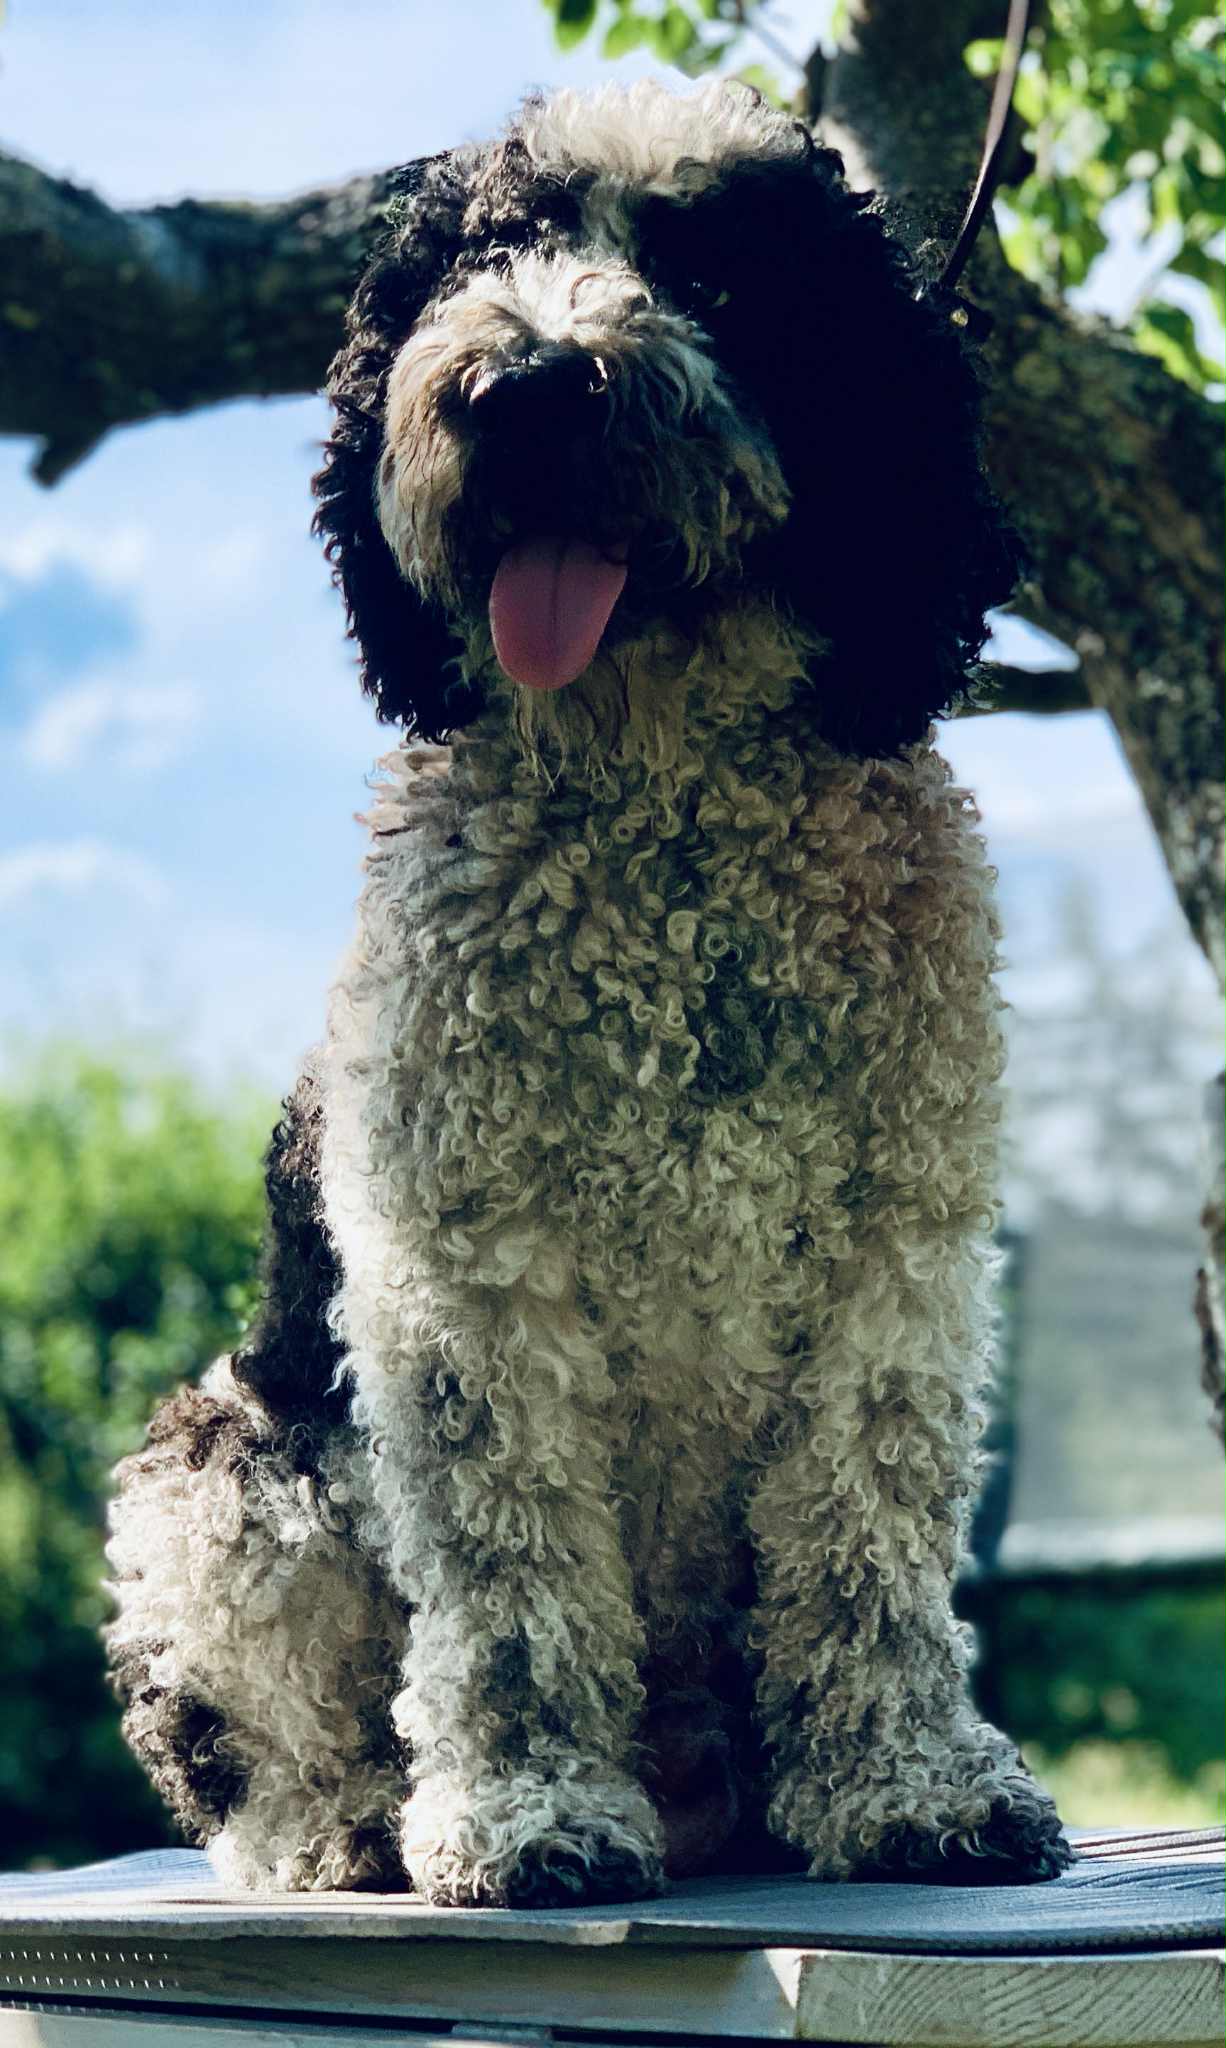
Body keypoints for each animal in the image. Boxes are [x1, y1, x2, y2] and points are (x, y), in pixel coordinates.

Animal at [106, 79, 1070, 1905]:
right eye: (483, 257)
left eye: (718, 276)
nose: (526, 385)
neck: (668, 815)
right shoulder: (469, 1276)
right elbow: (507, 1581)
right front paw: (531, 1812)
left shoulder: (890, 1260)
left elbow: (870, 1535)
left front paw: (908, 1783)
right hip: (221, 1470)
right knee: (255, 1747)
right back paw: (355, 1823)